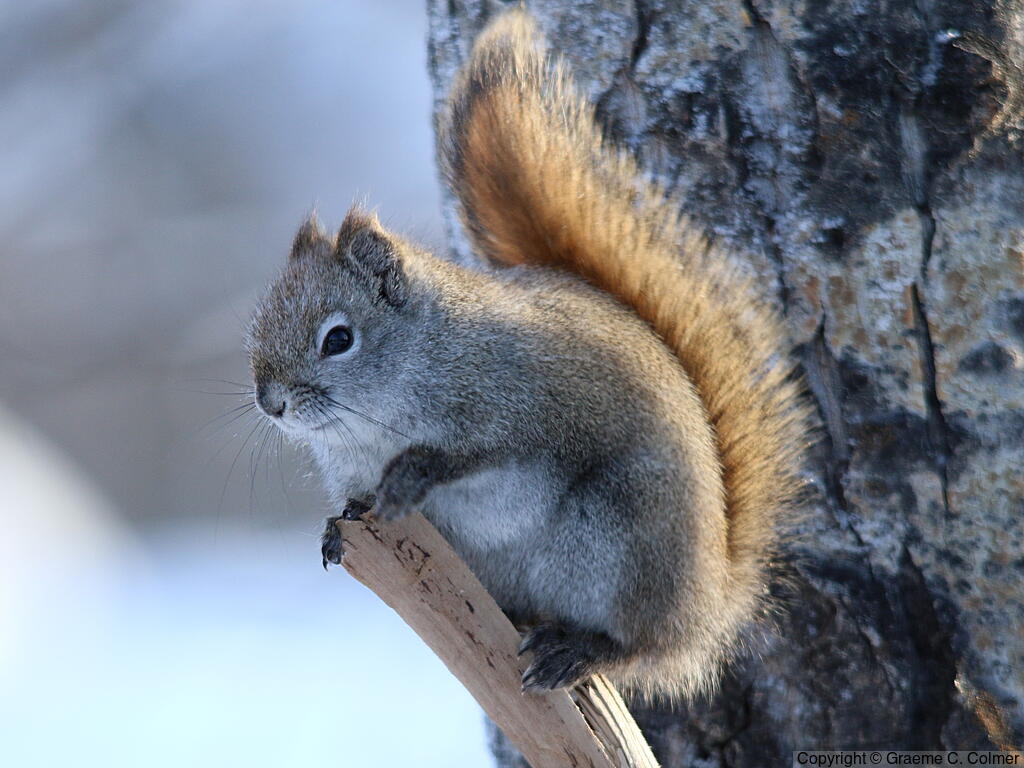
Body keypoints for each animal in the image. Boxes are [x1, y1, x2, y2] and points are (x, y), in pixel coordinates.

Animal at [246, 8, 811, 700]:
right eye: (260, 321)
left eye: (338, 340)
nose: (270, 403)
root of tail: (709, 606)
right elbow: (355, 504)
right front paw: (339, 523)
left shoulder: (522, 403)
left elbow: (477, 452)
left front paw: (413, 474)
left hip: (622, 540)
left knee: (639, 646)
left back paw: (579, 652)